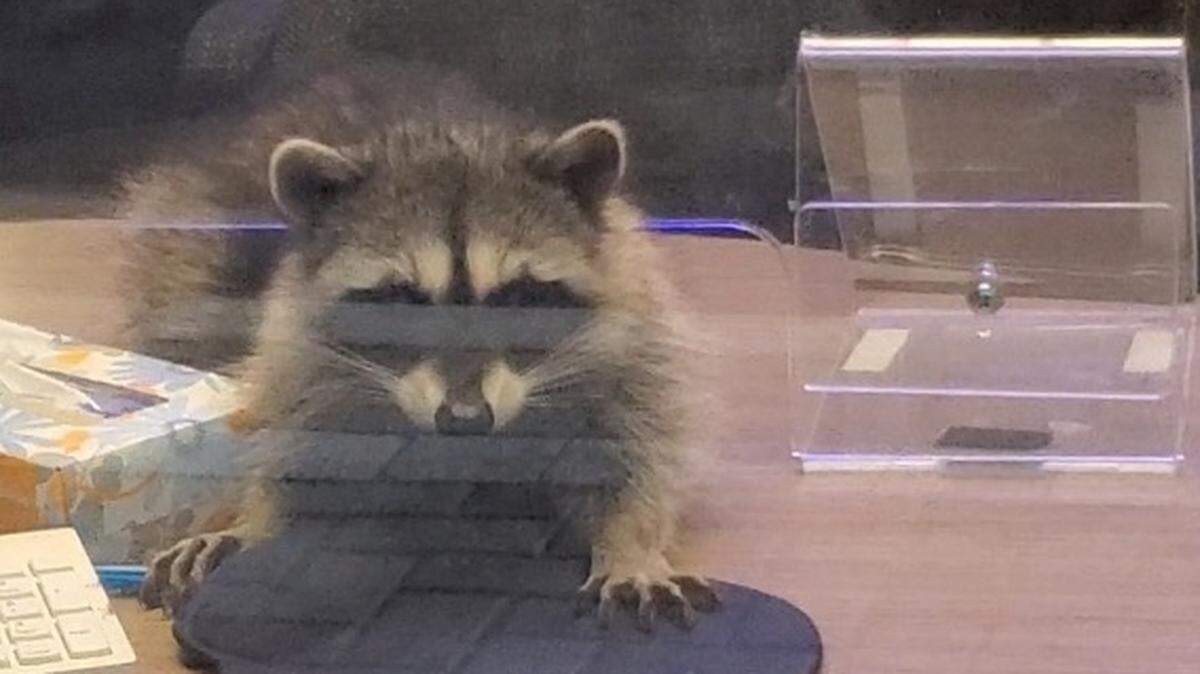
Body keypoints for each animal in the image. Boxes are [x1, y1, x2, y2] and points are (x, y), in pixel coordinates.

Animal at [122, 61, 718, 634]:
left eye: (516, 296)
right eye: (401, 299)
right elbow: (287, 442)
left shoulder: (633, 321)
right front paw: (257, 520)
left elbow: (639, 448)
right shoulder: (294, 344)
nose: (465, 419)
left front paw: (631, 544)